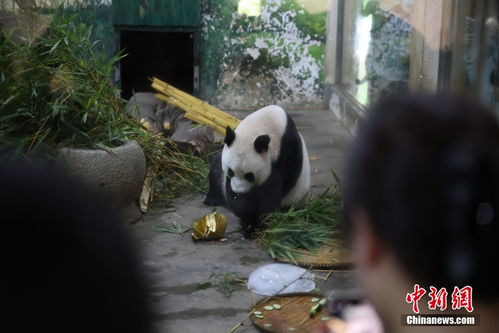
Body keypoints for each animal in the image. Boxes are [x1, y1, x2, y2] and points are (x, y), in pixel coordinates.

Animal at [203, 104, 308, 236]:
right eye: (231, 171)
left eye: (249, 175)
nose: (239, 191)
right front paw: (246, 215)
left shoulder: (286, 153)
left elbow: (271, 189)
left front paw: (258, 223)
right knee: (215, 170)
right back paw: (212, 199)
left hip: (294, 197)